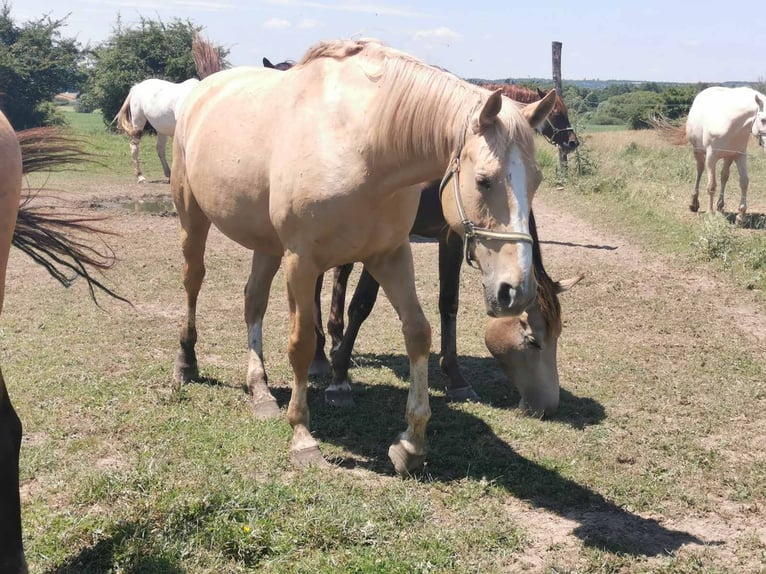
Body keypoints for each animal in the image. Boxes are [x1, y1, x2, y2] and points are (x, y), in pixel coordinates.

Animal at [171, 38, 556, 474]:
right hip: (192, 217)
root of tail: (201, 91)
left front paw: (411, 442)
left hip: (266, 245)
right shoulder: (301, 262)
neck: (361, 143)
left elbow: (418, 332)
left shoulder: (389, 255)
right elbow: (303, 342)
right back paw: (186, 363)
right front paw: (303, 436)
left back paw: (261, 390)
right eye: (483, 180)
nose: (516, 290)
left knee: (253, 300)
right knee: (193, 280)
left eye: (537, 181)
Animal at [661, 86, 766, 223]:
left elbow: (744, 182)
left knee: (724, 176)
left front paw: (741, 215)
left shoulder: (739, 156)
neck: (731, 123)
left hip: (728, 157)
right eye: (763, 120)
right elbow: (711, 185)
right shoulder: (711, 157)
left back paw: (720, 205)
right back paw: (694, 203)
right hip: (698, 152)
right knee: (700, 171)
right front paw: (710, 213)